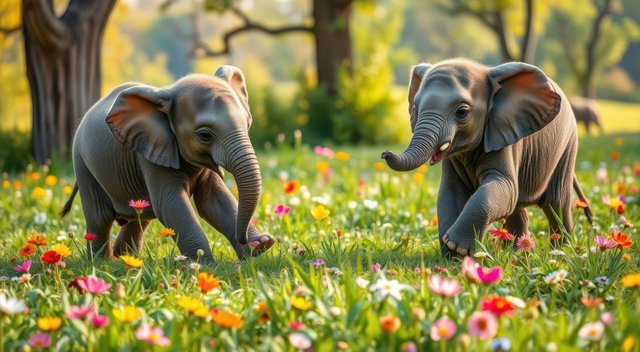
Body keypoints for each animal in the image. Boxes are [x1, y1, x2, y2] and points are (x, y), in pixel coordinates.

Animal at [60, 66, 278, 264]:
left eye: (247, 123)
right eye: (204, 135)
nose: (246, 240)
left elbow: (214, 200)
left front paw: (260, 247)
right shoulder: (150, 156)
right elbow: (171, 203)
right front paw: (205, 266)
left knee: (140, 216)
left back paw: (127, 259)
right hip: (82, 164)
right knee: (100, 217)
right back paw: (103, 263)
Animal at [380, 59, 596, 258]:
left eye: (462, 112)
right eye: (415, 108)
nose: (385, 153)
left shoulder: (504, 140)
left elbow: (502, 187)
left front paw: (457, 246)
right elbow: (450, 193)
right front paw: (452, 257)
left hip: (568, 145)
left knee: (556, 203)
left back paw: (559, 254)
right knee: (518, 208)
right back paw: (516, 255)